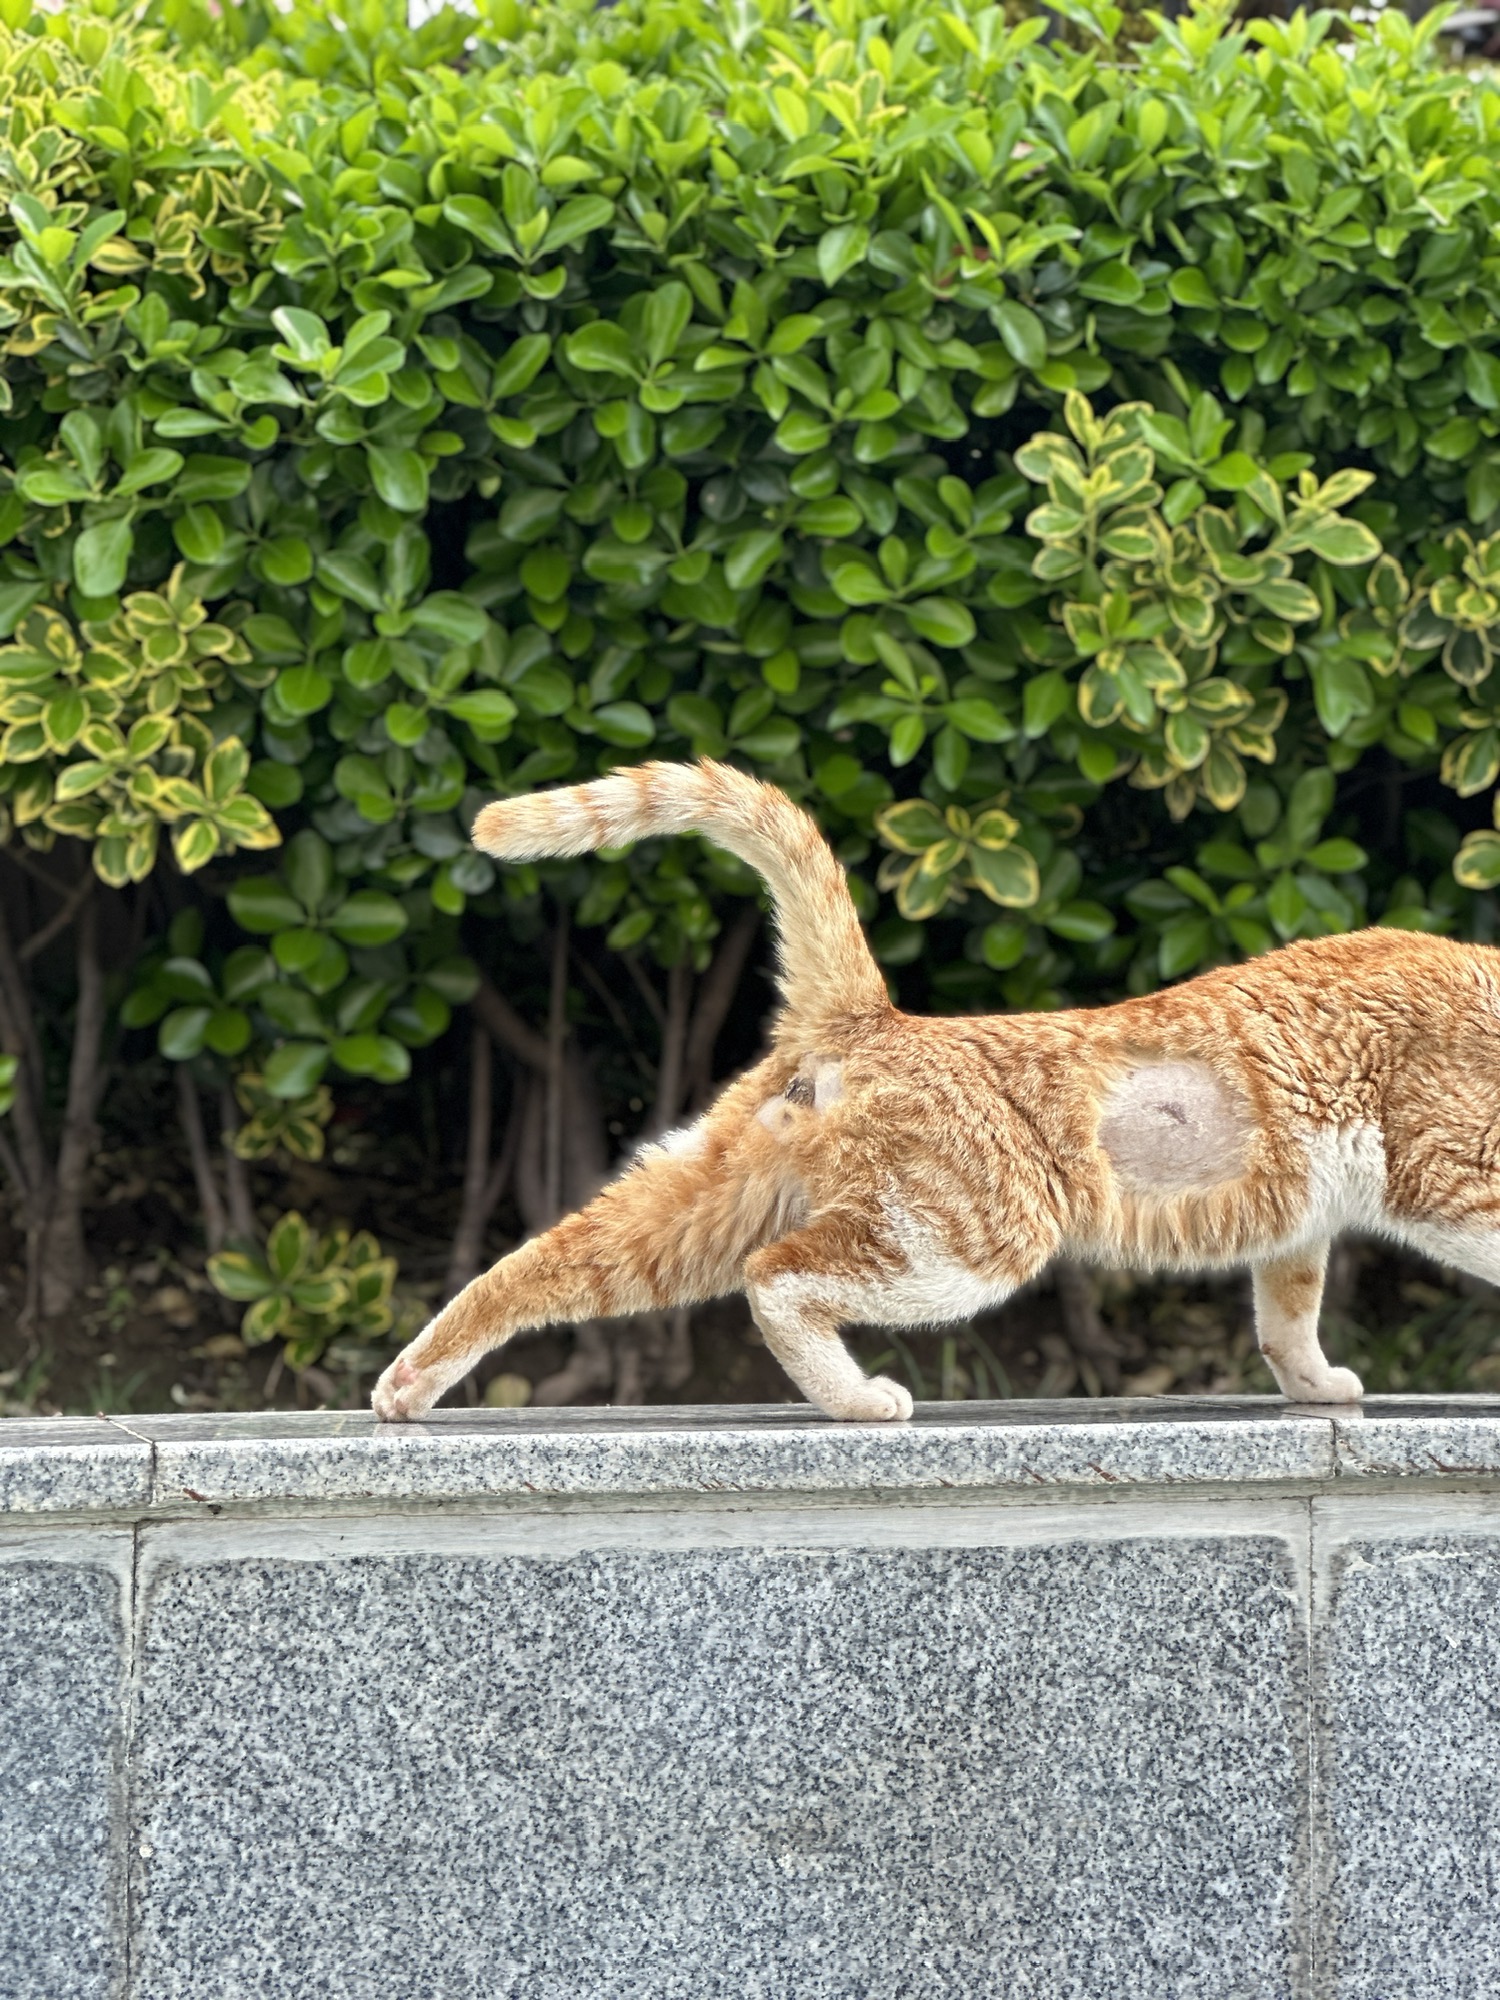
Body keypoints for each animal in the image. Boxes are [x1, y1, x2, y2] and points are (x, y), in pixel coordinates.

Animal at [373, 758, 1500, 1424]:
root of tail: (872, 1015)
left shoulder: (1300, 1224)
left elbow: (1285, 1319)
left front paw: (1317, 1391)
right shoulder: (1449, 1179)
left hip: (704, 1202)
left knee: (539, 1265)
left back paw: (408, 1384)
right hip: (971, 1240)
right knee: (779, 1278)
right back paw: (859, 1401)